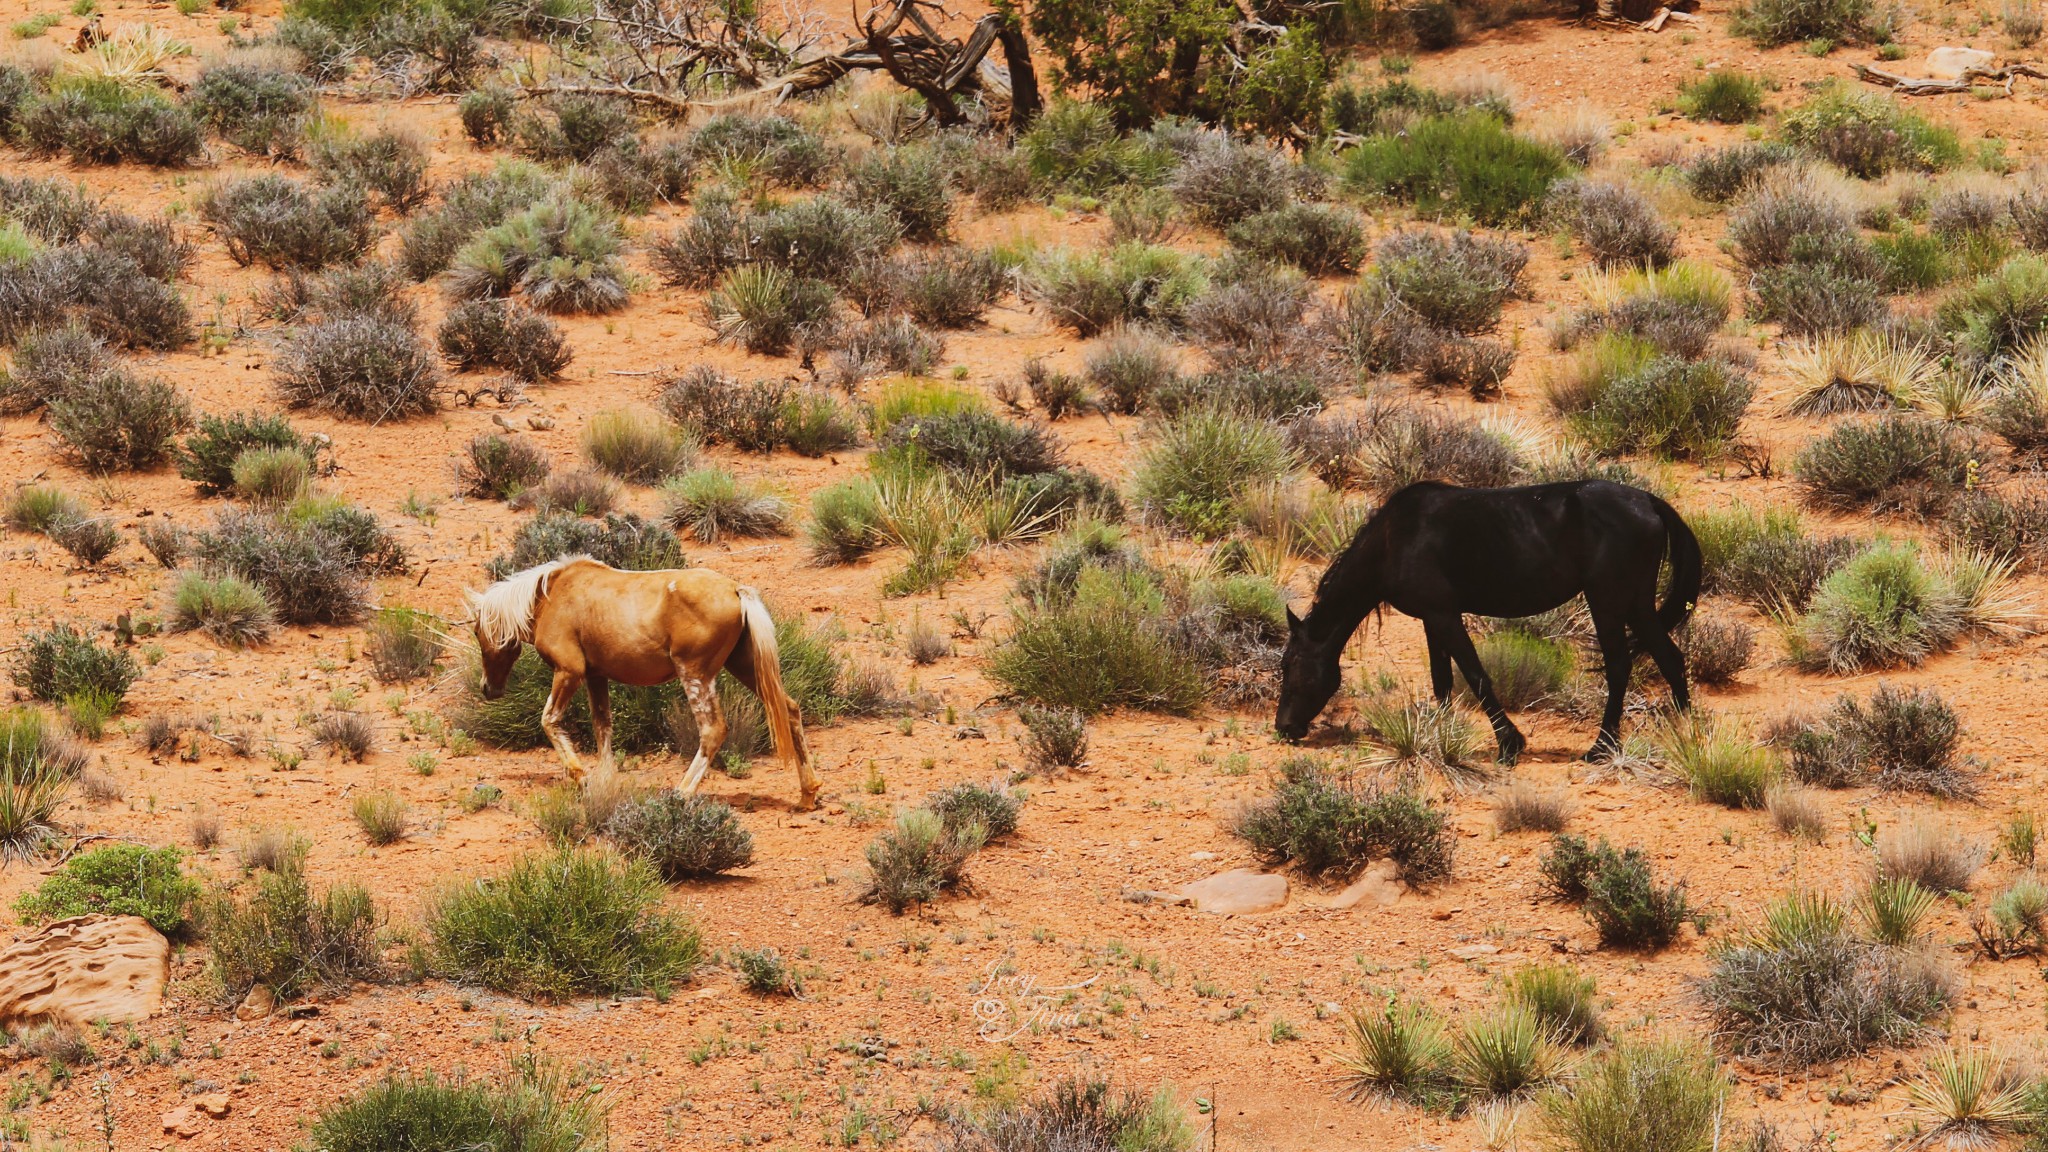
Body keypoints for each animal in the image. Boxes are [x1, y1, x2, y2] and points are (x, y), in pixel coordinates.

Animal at [468, 557, 819, 807]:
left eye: (476, 631)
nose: (487, 688)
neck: (550, 597)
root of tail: (736, 590)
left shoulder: (569, 672)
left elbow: (549, 721)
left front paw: (581, 778)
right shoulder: (596, 676)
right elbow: (603, 727)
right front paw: (606, 780)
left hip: (695, 675)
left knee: (713, 730)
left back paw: (682, 793)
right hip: (745, 668)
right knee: (789, 709)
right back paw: (808, 793)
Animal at [1277, 477, 1695, 762]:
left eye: (1290, 664)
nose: (1283, 727)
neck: (1394, 540)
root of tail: (1648, 502)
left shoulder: (1444, 614)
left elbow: (1475, 675)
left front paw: (1509, 744)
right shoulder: (1432, 618)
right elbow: (1442, 680)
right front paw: (1441, 735)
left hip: (1607, 601)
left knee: (1620, 666)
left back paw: (1601, 747)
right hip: (1637, 604)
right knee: (1670, 658)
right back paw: (1684, 734)